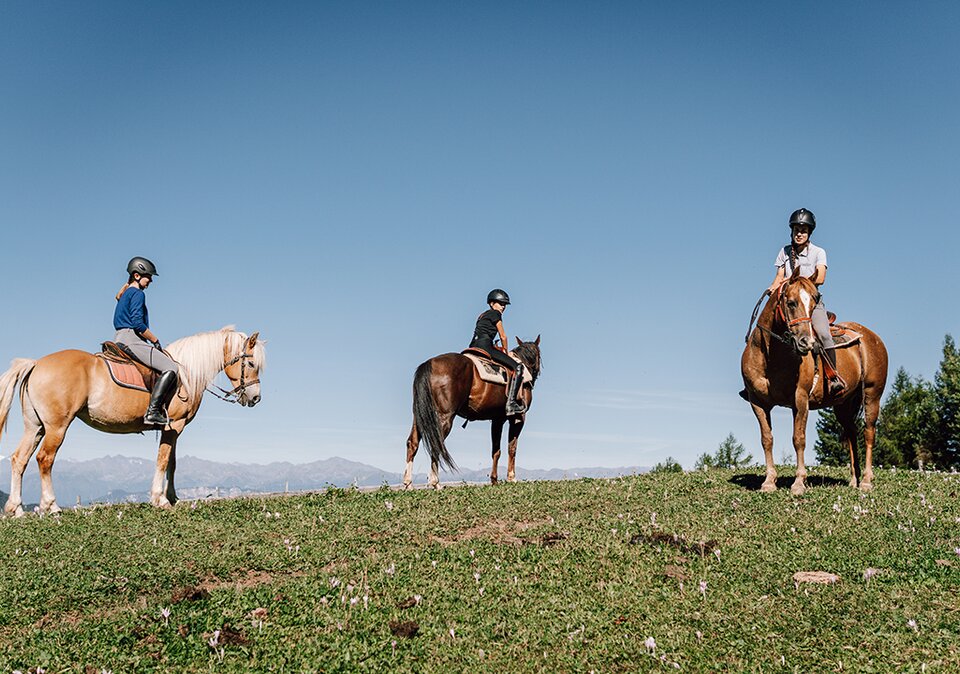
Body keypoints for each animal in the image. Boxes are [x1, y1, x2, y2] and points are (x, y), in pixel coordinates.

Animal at [0, 326, 264, 516]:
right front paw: (159, 499)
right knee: (45, 459)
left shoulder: (173, 429)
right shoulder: (174, 425)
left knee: (19, 459)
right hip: (57, 426)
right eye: (251, 363)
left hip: (35, 426)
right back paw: (51, 505)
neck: (186, 374)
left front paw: (172, 497)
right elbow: (162, 460)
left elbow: (172, 463)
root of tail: (36, 363)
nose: (256, 398)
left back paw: (16, 508)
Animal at [404, 336, 540, 488]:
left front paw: (494, 480)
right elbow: (512, 447)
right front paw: (511, 478)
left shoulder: (497, 419)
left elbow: (496, 451)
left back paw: (408, 484)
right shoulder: (518, 417)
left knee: (412, 442)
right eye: (538, 355)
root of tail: (429, 363)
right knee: (436, 444)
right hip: (445, 417)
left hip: (420, 416)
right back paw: (435, 483)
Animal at [744, 270, 892, 494]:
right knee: (851, 433)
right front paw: (769, 481)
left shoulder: (800, 399)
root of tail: (873, 338)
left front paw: (799, 482)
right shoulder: (758, 402)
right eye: (791, 303)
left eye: (814, 303)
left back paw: (866, 480)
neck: (771, 357)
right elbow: (767, 439)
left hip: (872, 394)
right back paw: (854, 480)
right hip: (843, 404)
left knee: (869, 432)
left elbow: (798, 439)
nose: (807, 342)